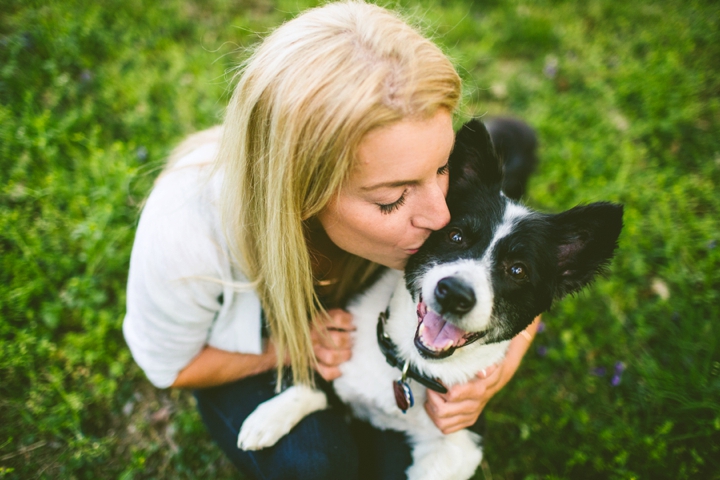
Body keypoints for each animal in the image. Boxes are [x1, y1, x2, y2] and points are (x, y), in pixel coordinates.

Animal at [236, 120, 624, 480]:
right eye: (455, 235)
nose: (454, 294)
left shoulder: (462, 442)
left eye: (518, 270)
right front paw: (269, 416)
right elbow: (315, 383)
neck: (410, 366)